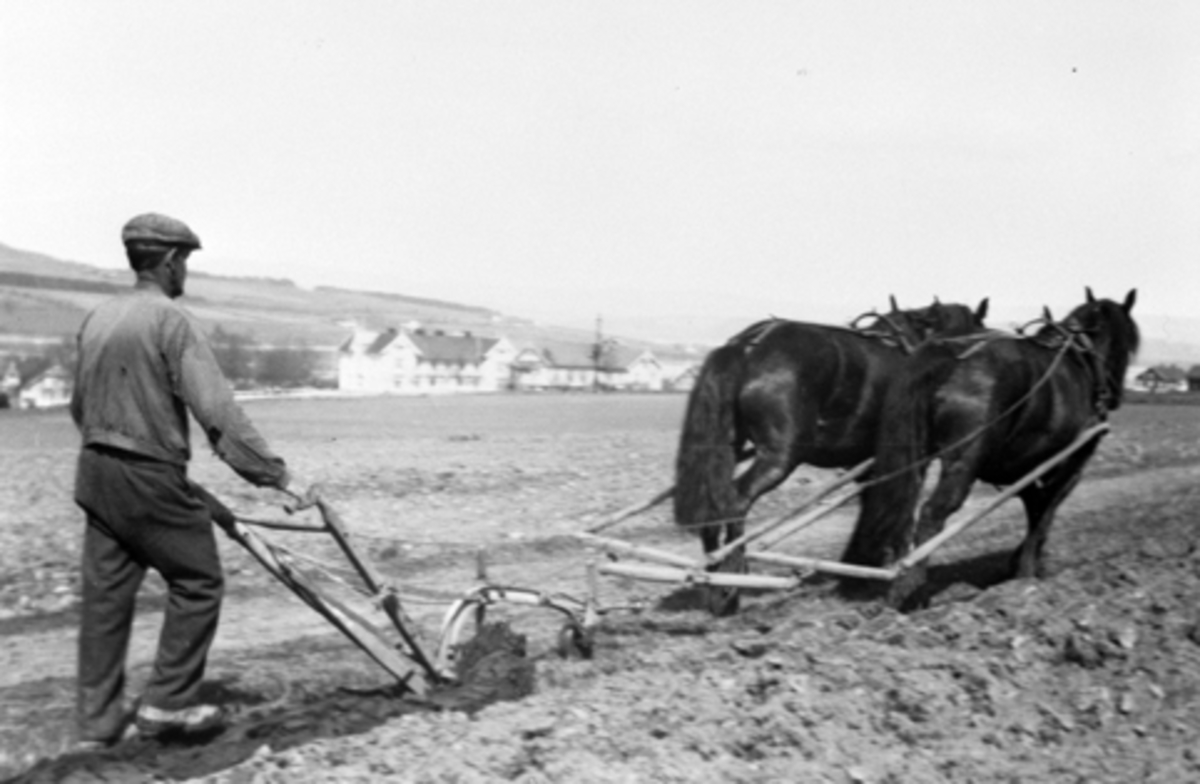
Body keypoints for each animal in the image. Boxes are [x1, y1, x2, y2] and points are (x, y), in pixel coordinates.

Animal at [676, 295, 984, 612]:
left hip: (729, 446)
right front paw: (894, 566)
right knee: (736, 500)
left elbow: (872, 506)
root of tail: (749, 344)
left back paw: (713, 577)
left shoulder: (868, 464)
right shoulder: (908, 459)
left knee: (713, 501)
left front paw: (859, 569)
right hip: (780, 456)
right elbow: (901, 508)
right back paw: (730, 581)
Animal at [840, 289, 1137, 605]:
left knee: (904, 509)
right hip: (965, 459)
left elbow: (1035, 511)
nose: (1115, 396)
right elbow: (1044, 515)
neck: (1080, 360)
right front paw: (1026, 574)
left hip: (916, 454)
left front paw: (1019, 565)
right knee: (933, 512)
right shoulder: (1071, 464)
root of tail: (947, 354)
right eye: (1128, 342)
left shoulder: (1028, 468)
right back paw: (907, 588)